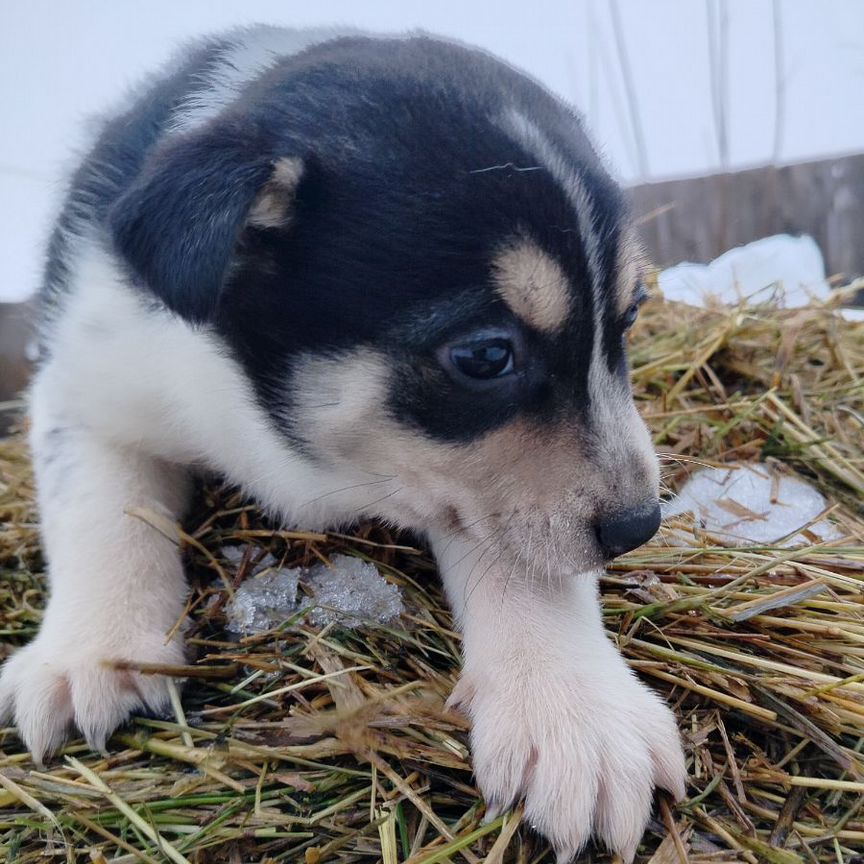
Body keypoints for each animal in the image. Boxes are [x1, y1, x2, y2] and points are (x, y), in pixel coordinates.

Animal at [1, 27, 688, 864]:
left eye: (632, 316)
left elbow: (526, 560)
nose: (638, 527)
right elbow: (101, 512)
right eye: (486, 356)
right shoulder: (82, 385)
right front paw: (87, 655)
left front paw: (578, 720)